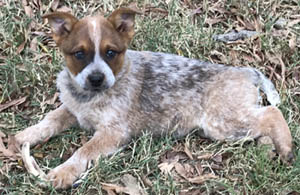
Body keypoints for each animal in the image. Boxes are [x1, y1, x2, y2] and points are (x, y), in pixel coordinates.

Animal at [14, 8, 292, 189]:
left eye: (110, 52)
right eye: (79, 54)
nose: (96, 78)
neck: (89, 97)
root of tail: (245, 71)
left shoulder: (113, 132)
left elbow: (84, 150)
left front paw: (63, 172)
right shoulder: (73, 109)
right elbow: (52, 118)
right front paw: (28, 134)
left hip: (222, 122)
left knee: (272, 113)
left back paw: (287, 147)